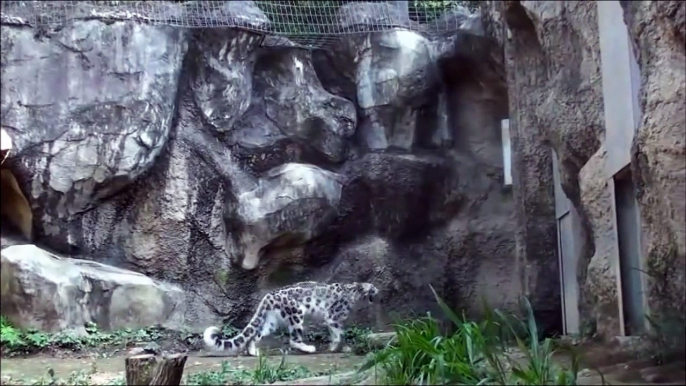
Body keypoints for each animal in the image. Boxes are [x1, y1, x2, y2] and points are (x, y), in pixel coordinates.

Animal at [202, 280, 384, 356]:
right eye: (372, 287)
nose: (378, 290)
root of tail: (269, 295)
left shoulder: (333, 320)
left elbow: (336, 333)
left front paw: (336, 347)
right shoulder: (333, 317)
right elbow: (340, 333)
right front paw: (339, 347)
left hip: (272, 322)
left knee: (256, 335)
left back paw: (254, 352)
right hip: (296, 313)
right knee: (294, 338)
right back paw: (309, 348)